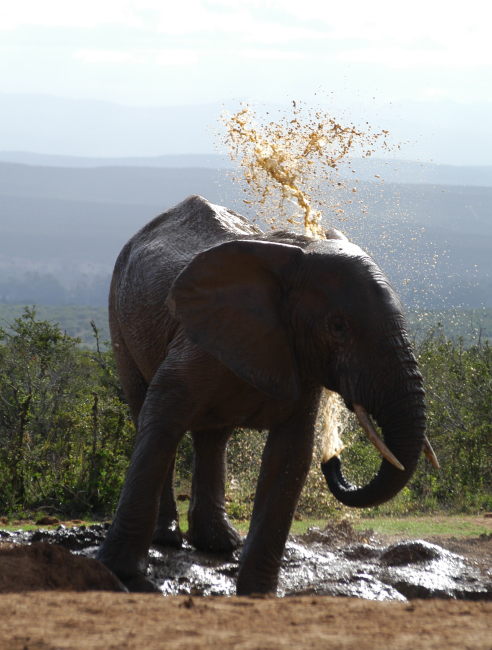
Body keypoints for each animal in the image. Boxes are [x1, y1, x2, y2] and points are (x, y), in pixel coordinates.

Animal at [97, 195, 434, 596]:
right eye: (338, 327)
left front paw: (257, 594)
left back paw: (219, 543)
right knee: (144, 408)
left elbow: (291, 454)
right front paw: (123, 575)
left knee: (213, 438)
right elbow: (161, 418)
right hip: (119, 312)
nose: (334, 457)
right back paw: (168, 539)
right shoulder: (197, 344)